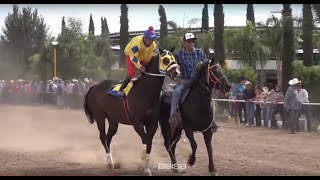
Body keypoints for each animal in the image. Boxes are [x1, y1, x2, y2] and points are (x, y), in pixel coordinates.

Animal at [83, 47, 180, 176]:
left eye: (174, 58)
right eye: (165, 60)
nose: (176, 72)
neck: (145, 92)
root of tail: (94, 86)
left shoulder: (152, 123)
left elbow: (148, 142)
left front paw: (144, 165)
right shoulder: (136, 123)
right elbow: (146, 140)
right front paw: (144, 166)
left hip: (113, 120)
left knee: (108, 138)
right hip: (100, 117)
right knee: (103, 137)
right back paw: (110, 162)